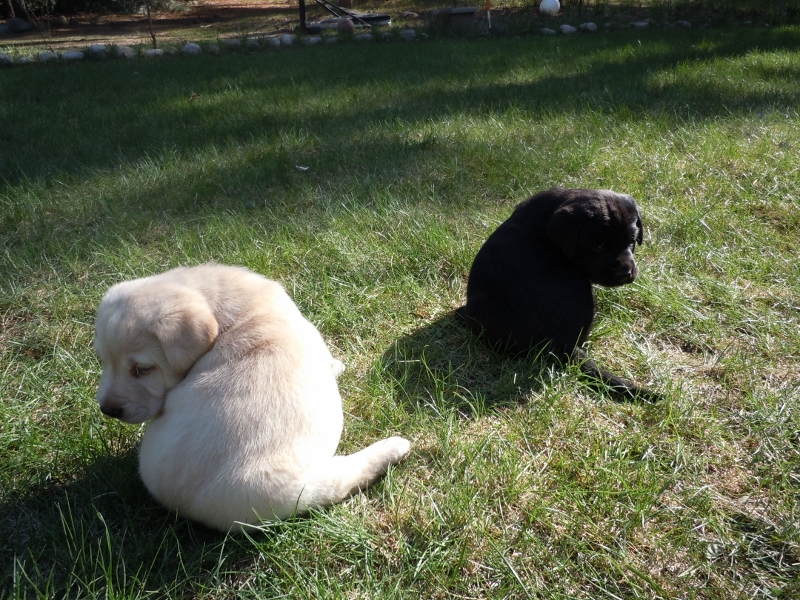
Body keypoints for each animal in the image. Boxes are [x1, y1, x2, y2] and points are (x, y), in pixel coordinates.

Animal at [94, 264, 410, 532]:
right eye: (103, 361)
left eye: (142, 369)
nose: (108, 410)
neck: (226, 311)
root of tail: (186, 506)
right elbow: (329, 362)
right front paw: (338, 366)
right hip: (306, 486)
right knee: (346, 477)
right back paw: (394, 448)